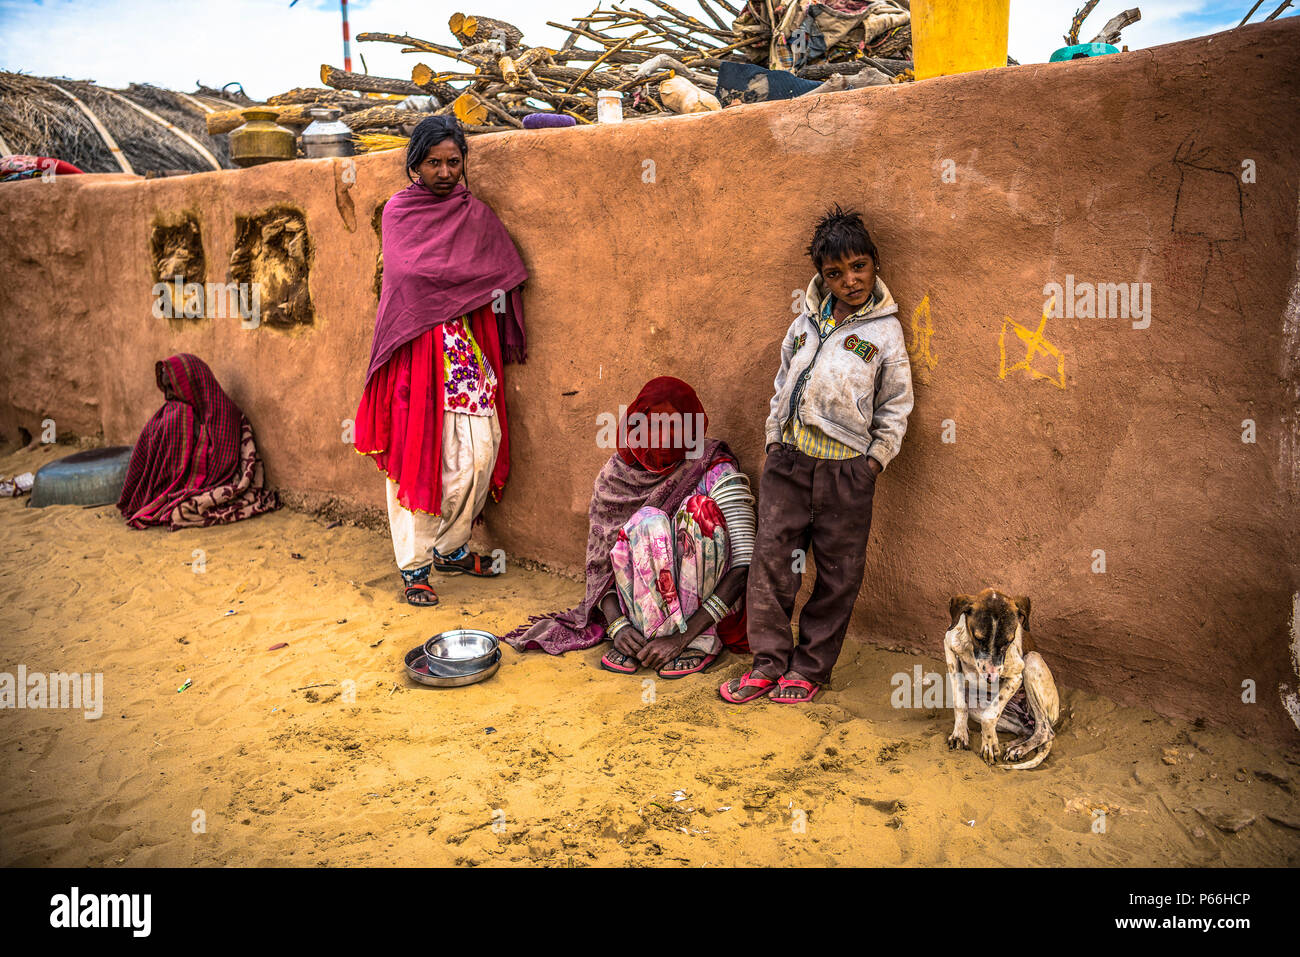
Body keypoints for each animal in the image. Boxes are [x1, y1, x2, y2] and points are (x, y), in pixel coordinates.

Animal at [951, 590, 1060, 769]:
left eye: (1009, 641)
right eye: (979, 638)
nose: (991, 678)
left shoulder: (1016, 676)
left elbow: (989, 716)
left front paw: (989, 744)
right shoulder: (950, 649)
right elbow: (959, 703)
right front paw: (959, 734)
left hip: (1031, 661)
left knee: (1045, 731)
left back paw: (1019, 748)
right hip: (981, 709)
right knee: (1027, 730)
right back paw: (1012, 745)